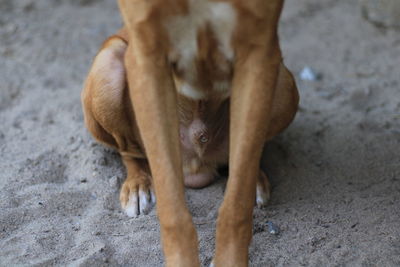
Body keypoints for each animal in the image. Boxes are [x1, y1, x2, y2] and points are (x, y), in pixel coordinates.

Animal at [83, 0, 298, 266]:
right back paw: (138, 185)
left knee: (245, 158)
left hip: (283, 82)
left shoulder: (259, 54)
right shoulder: (147, 60)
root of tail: (197, 168)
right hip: (109, 64)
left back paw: (256, 179)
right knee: (130, 151)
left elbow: (237, 201)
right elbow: (172, 207)